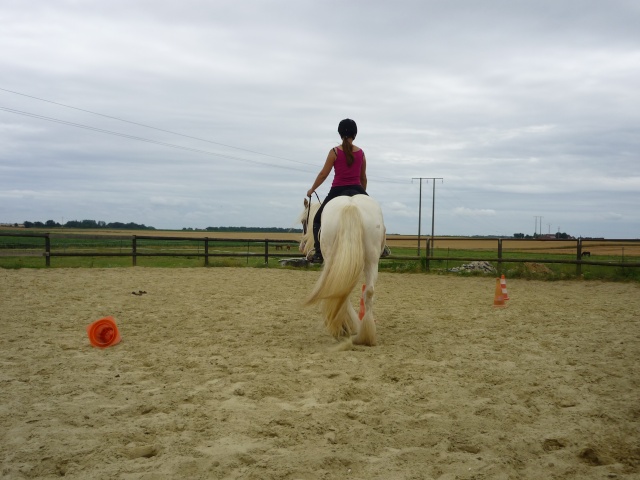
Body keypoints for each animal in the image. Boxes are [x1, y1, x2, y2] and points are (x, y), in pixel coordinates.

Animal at [298, 195, 384, 344]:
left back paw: (345, 327)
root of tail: (351, 206)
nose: (301, 247)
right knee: (368, 292)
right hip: (372, 261)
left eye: (304, 221)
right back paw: (366, 334)